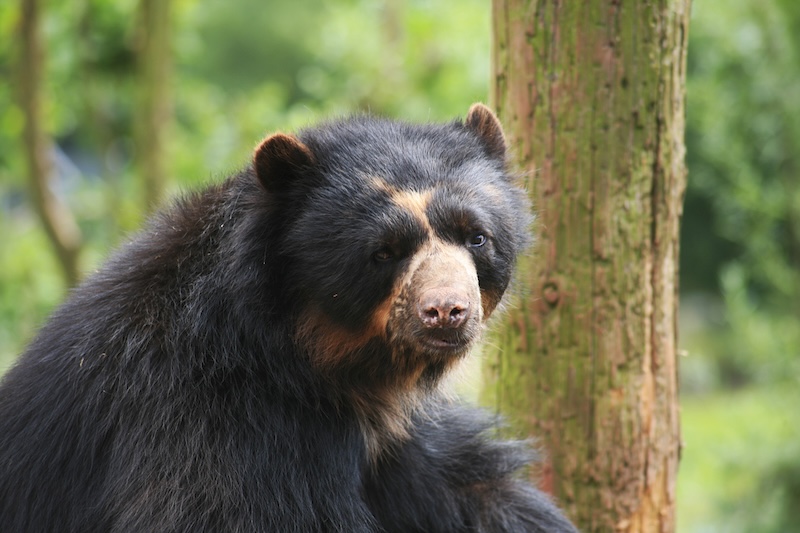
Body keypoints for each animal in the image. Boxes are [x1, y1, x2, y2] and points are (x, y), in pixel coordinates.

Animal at [0, 105, 576, 532]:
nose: (447, 312)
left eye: (476, 236)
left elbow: (471, 487)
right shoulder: (210, 430)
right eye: (383, 252)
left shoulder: (394, 444)